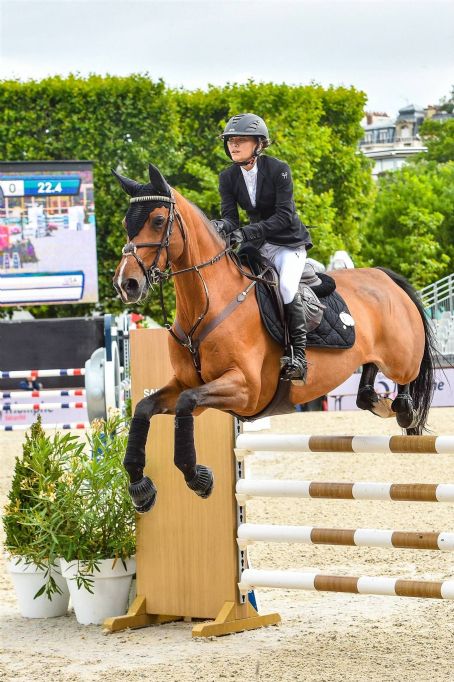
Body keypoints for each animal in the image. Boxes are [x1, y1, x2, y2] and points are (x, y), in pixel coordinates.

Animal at [111, 165, 438, 510]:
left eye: (158, 221)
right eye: (126, 224)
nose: (125, 284)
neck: (208, 305)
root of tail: (383, 276)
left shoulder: (245, 389)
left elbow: (187, 402)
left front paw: (197, 477)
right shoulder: (189, 384)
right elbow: (145, 407)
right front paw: (140, 487)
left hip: (400, 357)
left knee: (408, 376)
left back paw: (401, 408)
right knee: (369, 373)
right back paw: (376, 401)